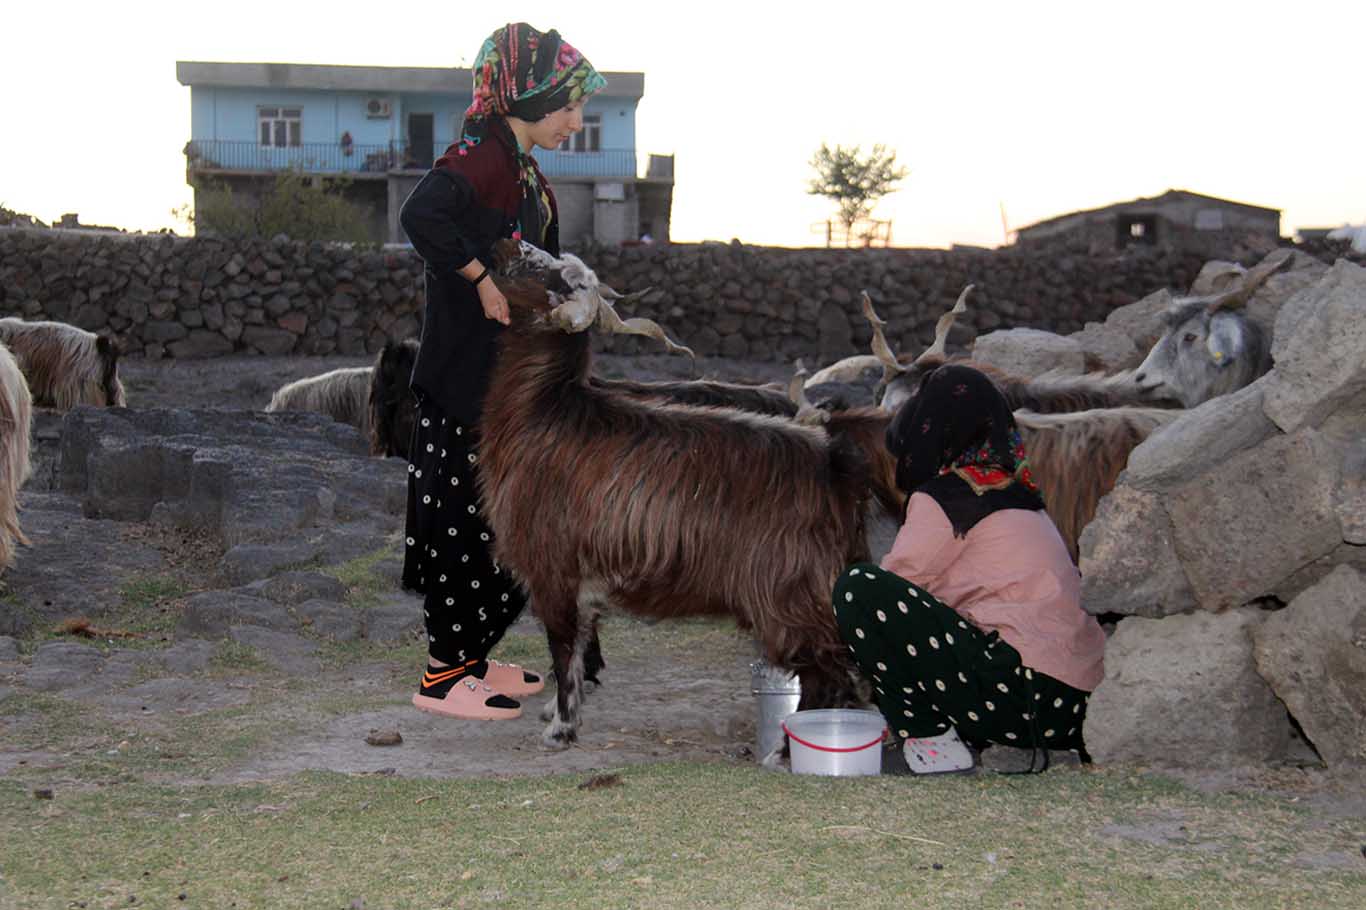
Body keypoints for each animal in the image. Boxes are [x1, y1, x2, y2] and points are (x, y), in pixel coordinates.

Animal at [475, 239, 868, 743]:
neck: (544, 407)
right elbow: (581, 647)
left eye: (553, 274)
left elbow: (562, 647)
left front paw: (561, 728)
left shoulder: (553, 566)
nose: (505, 241)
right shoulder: (583, 580)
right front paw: (560, 711)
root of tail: (835, 466)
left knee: (829, 676)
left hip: (788, 596)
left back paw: (789, 749)